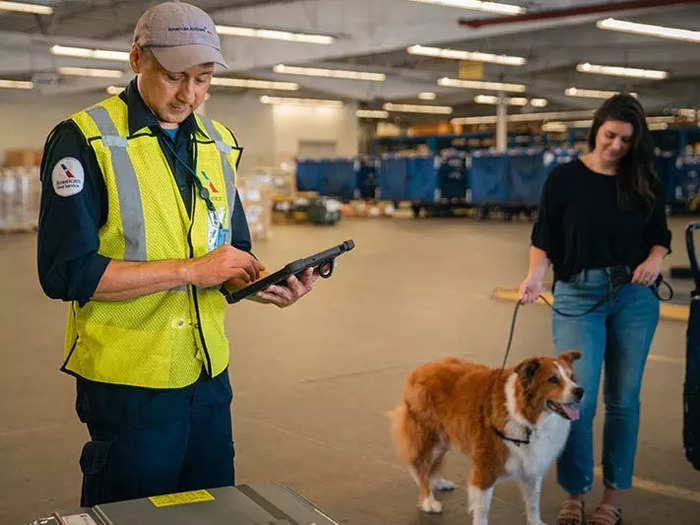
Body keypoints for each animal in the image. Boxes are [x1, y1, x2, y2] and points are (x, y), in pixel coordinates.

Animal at [392, 352, 584, 524]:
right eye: (552, 379)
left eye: (572, 377)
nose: (579, 391)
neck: (526, 418)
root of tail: (421, 369)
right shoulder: (485, 469)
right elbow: (482, 511)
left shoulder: (532, 467)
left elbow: (533, 504)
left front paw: (535, 522)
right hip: (428, 438)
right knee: (421, 468)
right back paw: (428, 500)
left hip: (443, 439)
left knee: (430, 466)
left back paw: (438, 482)